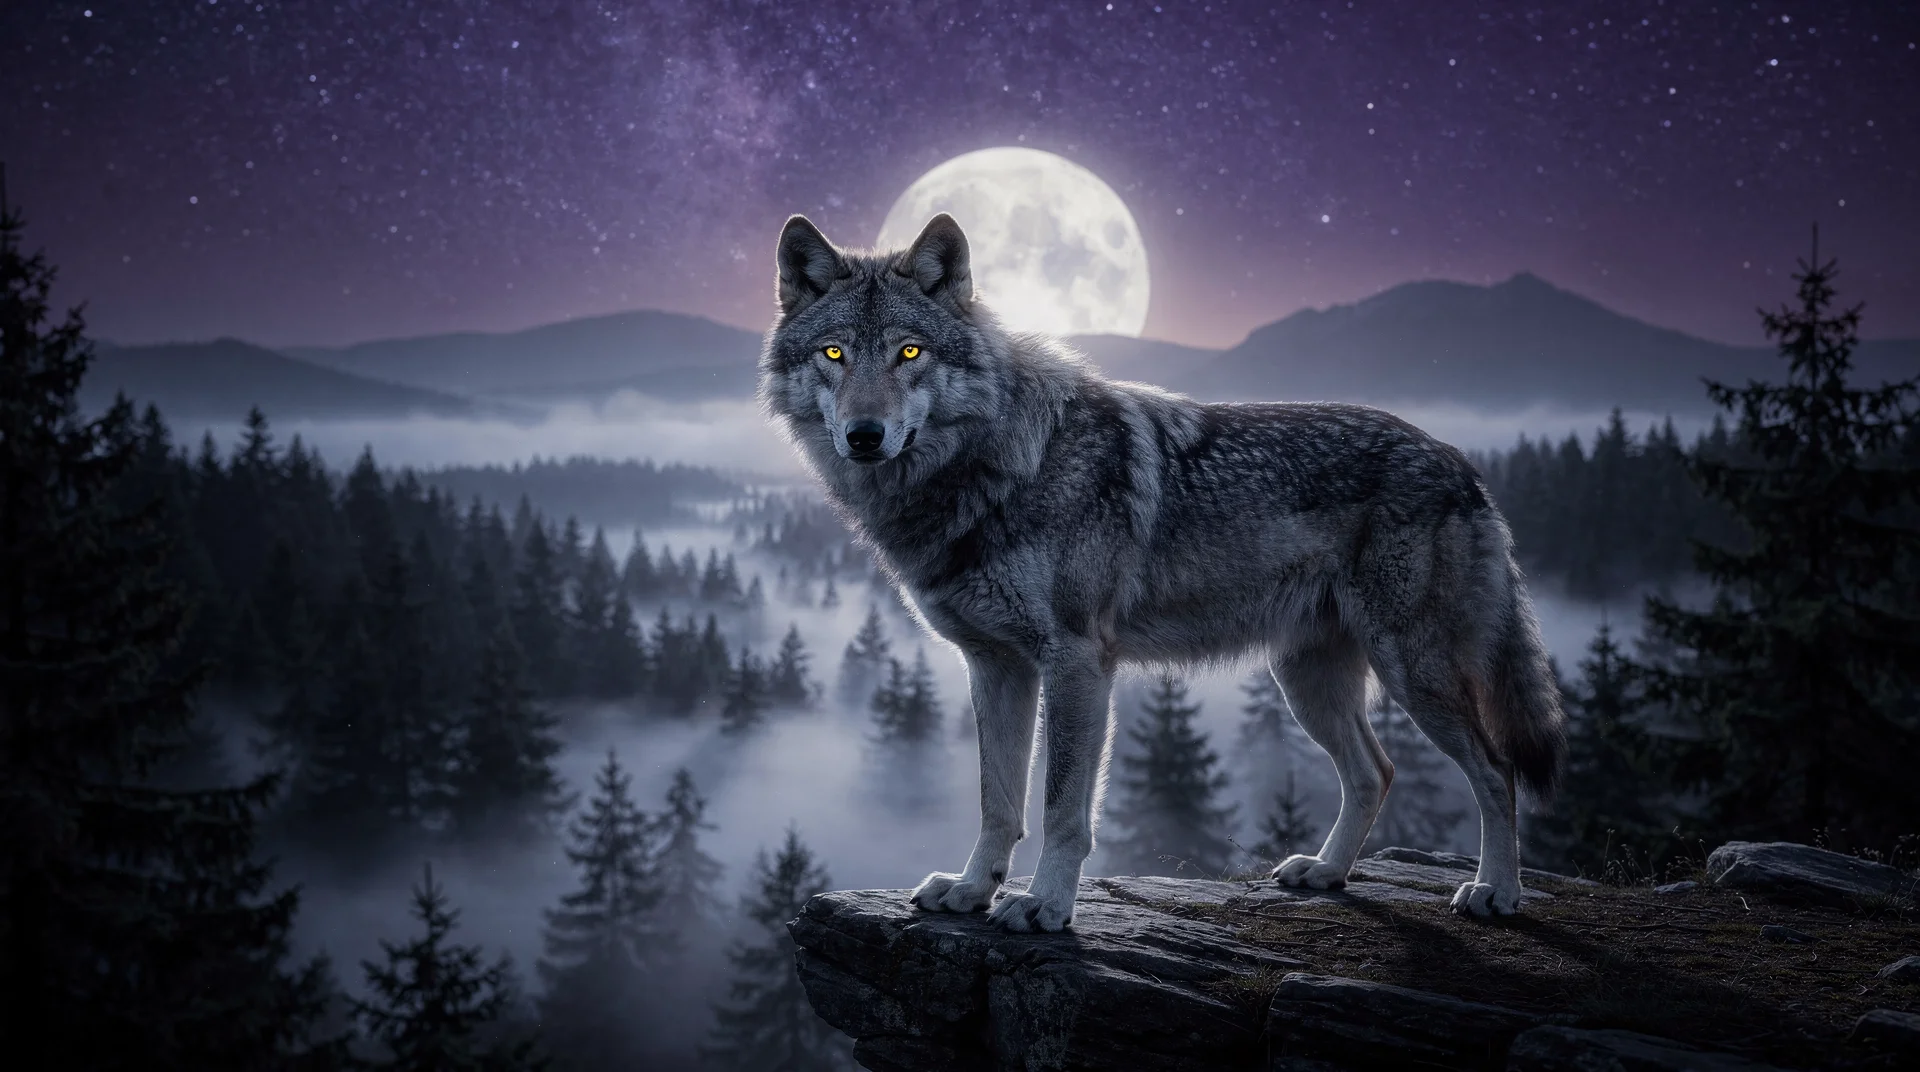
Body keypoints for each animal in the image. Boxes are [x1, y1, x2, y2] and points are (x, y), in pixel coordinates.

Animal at [758, 213, 1566, 932]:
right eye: (834, 355)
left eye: (910, 352)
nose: (865, 436)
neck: (996, 468)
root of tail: (1461, 461)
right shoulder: (995, 667)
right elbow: (998, 802)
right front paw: (971, 890)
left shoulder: (1077, 663)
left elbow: (1061, 808)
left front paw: (1043, 907)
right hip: (1305, 683)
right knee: (1378, 771)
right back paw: (1327, 873)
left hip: (1411, 672)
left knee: (1497, 772)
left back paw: (1495, 892)